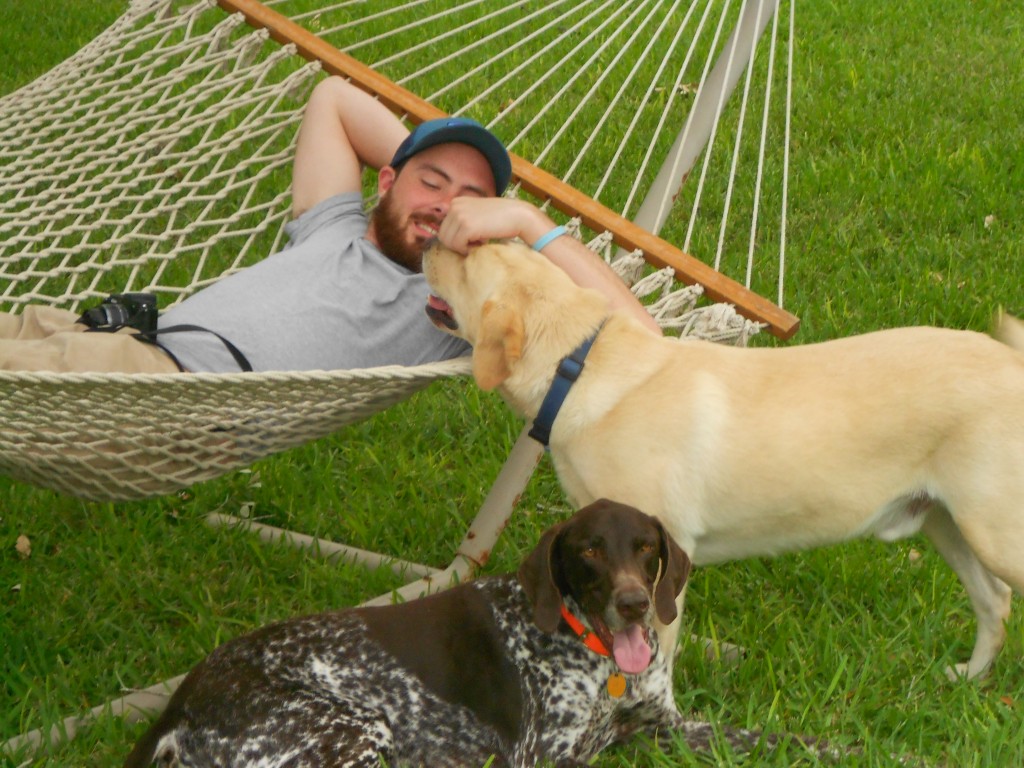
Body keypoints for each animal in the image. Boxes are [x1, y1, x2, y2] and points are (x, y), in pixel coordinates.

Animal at [423, 239, 1024, 679]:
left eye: (466, 260)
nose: (429, 238)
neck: (581, 364)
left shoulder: (660, 561)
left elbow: (650, 660)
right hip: (947, 524)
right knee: (994, 603)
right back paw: (967, 678)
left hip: (994, 534)